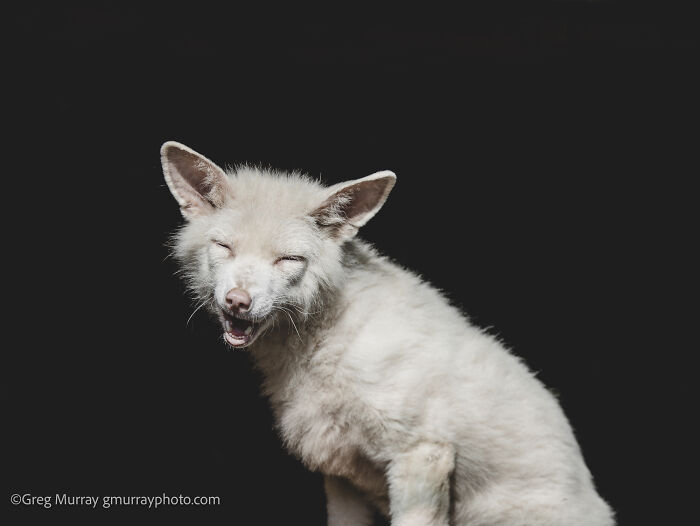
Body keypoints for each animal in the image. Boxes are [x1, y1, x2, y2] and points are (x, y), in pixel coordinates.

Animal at [161, 141, 615, 526]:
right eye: (224, 247)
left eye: (288, 259)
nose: (238, 301)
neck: (325, 344)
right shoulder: (341, 472)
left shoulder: (422, 454)